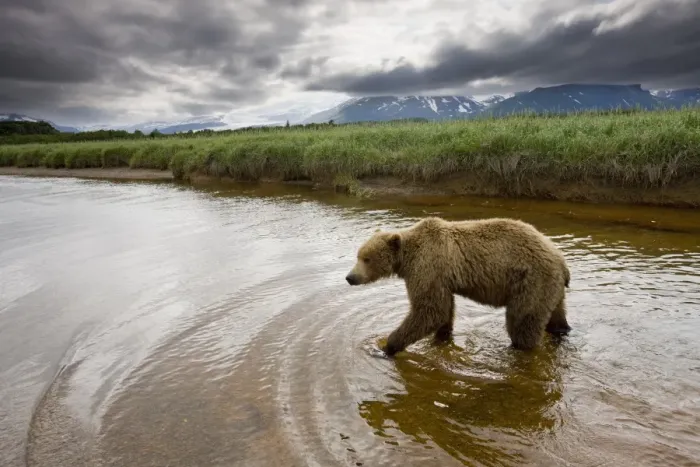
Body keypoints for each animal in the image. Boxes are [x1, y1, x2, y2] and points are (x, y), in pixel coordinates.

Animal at [345, 216, 571, 357]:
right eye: (359, 256)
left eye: (366, 259)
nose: (350, 277)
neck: (407, 257)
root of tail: (561, 260)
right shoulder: (442, 279)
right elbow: (444, 310)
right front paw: (442, 335)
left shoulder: (428, 266)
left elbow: (429, 309)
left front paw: (387, 347)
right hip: (551, 287)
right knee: (555, 316)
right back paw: (562, 331)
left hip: (531, 281)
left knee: (522, 321)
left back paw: (517, 348)